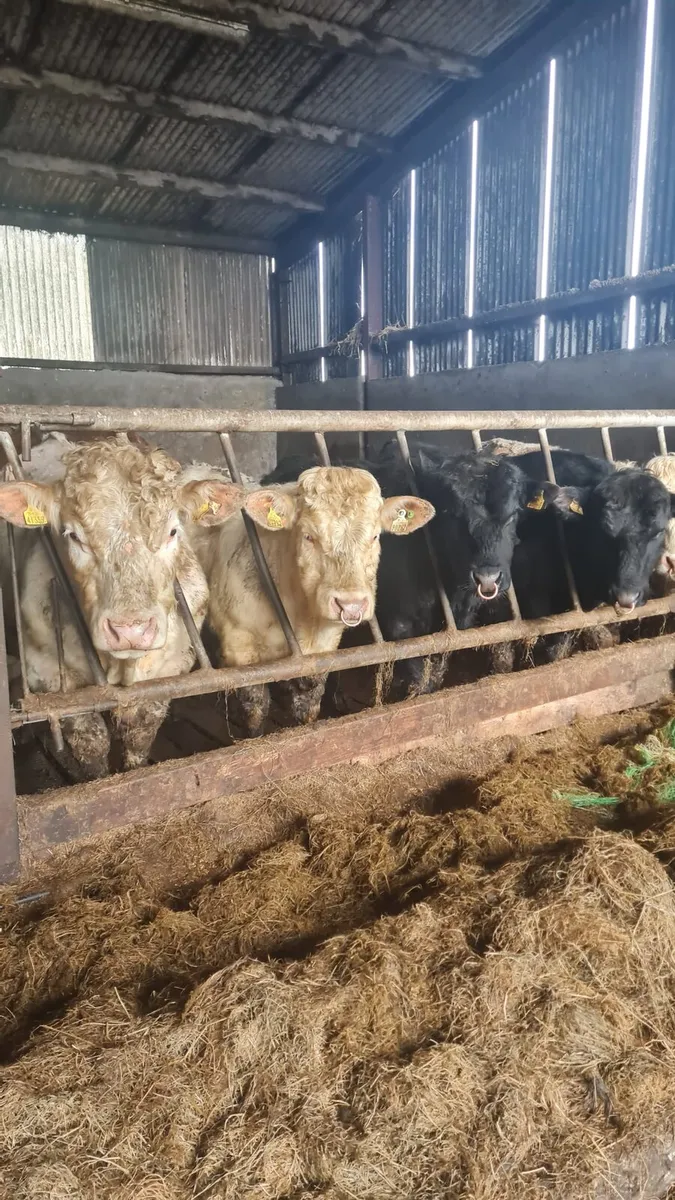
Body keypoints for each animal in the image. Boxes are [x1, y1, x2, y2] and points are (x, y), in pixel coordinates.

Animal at [0, 436, 245, 777]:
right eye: (73, 536)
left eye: (172, 532)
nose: (131, 630)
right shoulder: (48, 672)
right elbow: (91, 743)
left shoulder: (173, 666)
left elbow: (139, 733)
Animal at [186, 464, 434, 735]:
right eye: (308, 536)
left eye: (375, 537)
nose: (351, 604)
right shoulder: (239, 646)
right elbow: (255, 711)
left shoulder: (323, 646)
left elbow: (308, 704)